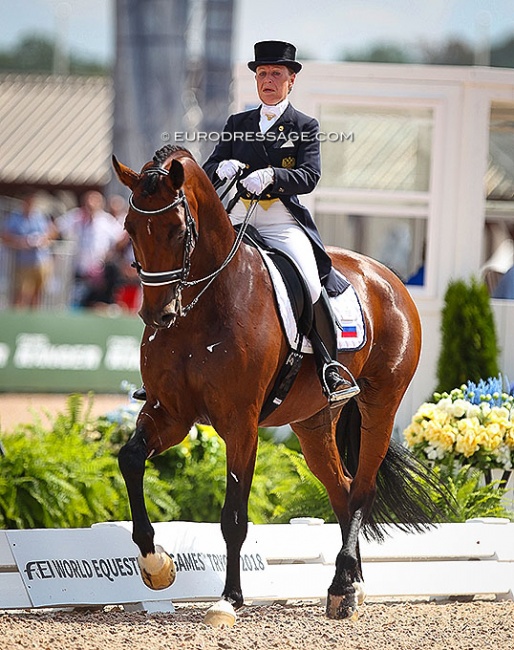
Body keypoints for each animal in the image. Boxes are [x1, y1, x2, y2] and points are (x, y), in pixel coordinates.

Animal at [114, 146, 442, 624]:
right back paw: (350, 586)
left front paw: (228, 601)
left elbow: (234, 516)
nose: (158, 316)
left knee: (362, 490)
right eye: (130, 228)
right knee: (342, 490)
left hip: (381, 404)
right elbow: (130, 459)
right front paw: (156, 566)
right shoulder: (169, 413)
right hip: (313, 422)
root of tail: (387, 276)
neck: (202, 306)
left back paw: (343, 586)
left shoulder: (241, 423)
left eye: (177, 230)